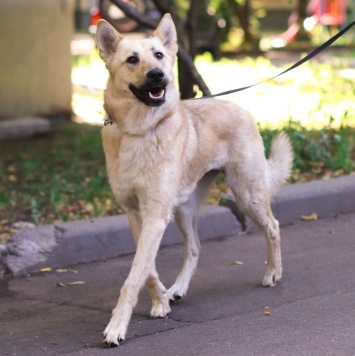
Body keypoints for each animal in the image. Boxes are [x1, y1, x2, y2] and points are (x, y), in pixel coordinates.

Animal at [96, 14, 294, 348]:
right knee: (195, 248)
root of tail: (241, 108)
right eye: (132, 59)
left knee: (274, 226)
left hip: (247, 195)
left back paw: (273, 273)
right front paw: (160, 301)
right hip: (184, 210)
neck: (138, 132)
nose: (158, 75)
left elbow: (134, 275)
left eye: (159, 55)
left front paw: (117, 326)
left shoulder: (155, 216)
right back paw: (177, 289)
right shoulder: (137, 214)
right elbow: (146, 268)